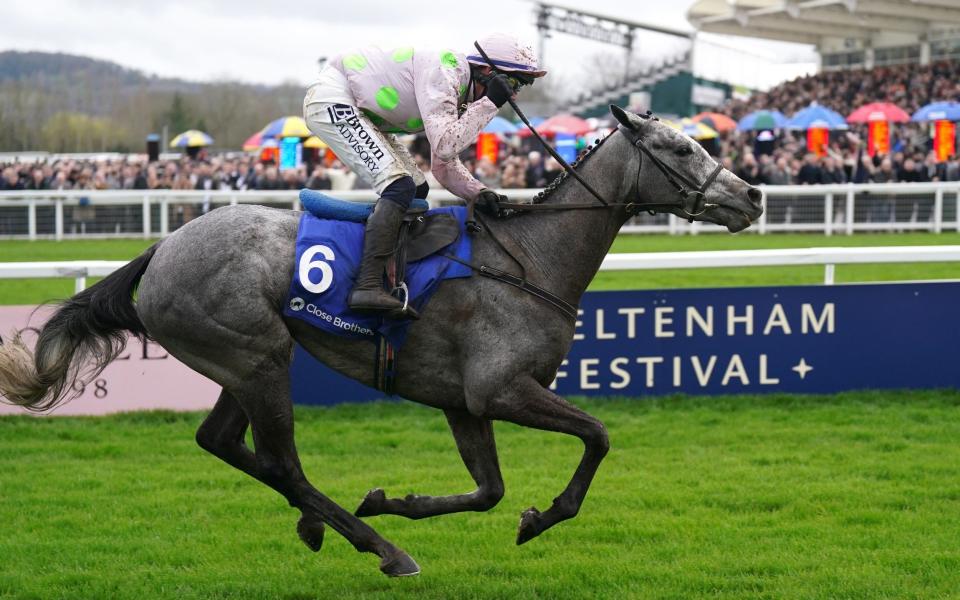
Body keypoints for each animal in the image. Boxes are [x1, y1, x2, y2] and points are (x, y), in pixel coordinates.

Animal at [1, 106, 764, 576]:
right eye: (679, 148)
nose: (753, 195)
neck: (531, 261)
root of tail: (161, 249)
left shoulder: (463, 402)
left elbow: (487, 490)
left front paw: (399, 500)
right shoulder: (500, 389)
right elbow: (597, 437)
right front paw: (539, 517)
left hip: (241, 362)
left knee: (222, 443)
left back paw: (326, 525)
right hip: (259, 358)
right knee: (282, 463)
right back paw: (379, 547)